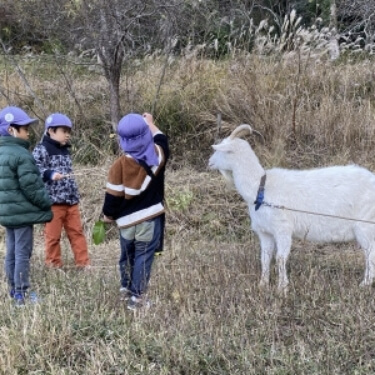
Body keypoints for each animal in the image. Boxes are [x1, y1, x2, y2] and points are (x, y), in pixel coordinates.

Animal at [209, 125, 375, 292]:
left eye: (223, 150)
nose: (209, 162)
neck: (261, 187)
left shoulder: (282, 229)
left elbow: (280, 258)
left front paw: (282, 288)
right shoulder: (265, 232)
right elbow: (265, 258)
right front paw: (263, 285)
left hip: (365, 224)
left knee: (370, 253)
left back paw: (365, 283)